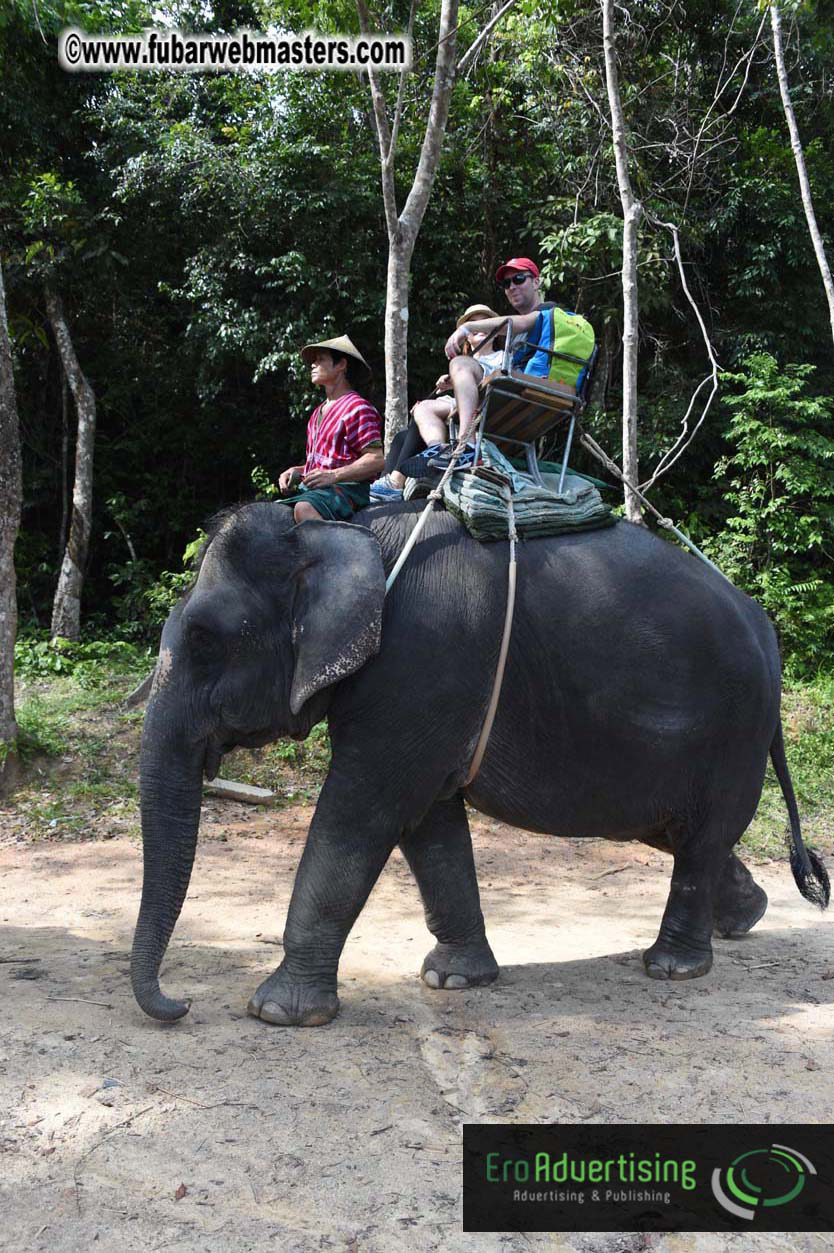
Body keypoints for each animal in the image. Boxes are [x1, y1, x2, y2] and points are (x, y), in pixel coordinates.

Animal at [130, 500, 829, 1025]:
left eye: (204, 641)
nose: (181, 1005)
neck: (341, 531)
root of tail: (766, 631)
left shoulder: (421, 668)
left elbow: (362, 811)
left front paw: (279, 1013)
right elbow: (428, 823)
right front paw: (453, 980)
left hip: (732, 731)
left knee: (702, 836)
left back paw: (673, 967)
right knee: (682, 834)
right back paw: (744, 917)